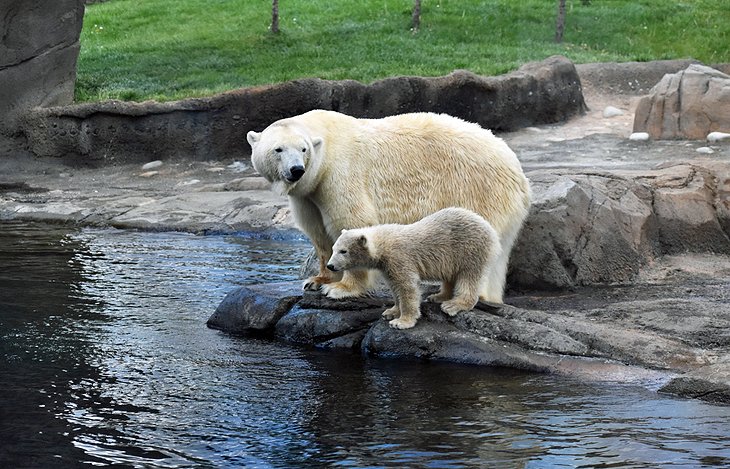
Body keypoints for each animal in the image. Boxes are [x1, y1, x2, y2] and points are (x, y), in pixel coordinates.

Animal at [246, 109, 528, 302]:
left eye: (303, 149)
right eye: (278, 149)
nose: (296, 170)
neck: (327, 142)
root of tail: (516, 168)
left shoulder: (339, 174)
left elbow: (352, 221)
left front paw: (341, 288)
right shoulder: (309, 194)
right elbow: (319, 234)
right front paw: (317, 280)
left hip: (477, 189)